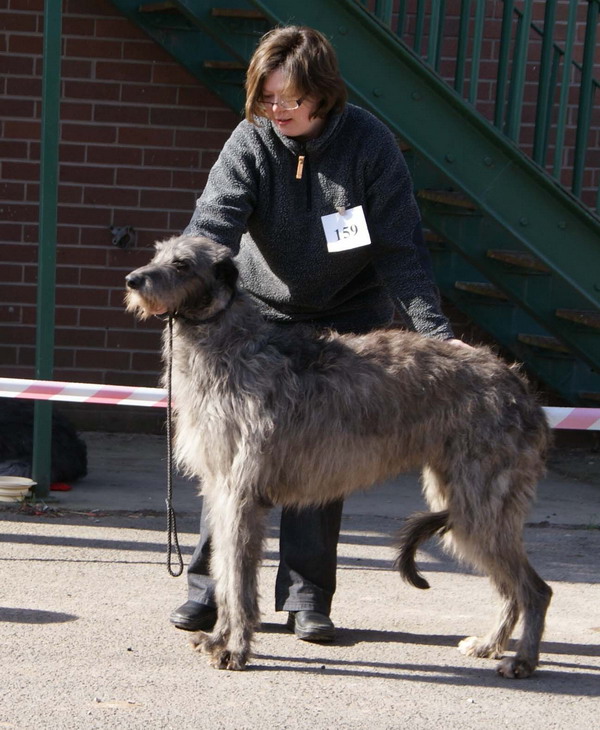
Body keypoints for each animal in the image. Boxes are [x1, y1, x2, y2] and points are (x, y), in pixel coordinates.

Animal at [125, 235, 552, 676]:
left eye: (183, 264)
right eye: (158, 254)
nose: (132, 280)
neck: (229, 344)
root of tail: (521, 389)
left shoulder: (242, 494)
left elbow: (240, 579)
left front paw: (236, 649)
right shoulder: (220, 490)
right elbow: (225, 572)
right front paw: (218, 638)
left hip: (480, 503)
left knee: (536, 589)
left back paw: (522, 659)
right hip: (463, 500)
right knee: (512, 589)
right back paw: (490, 645)